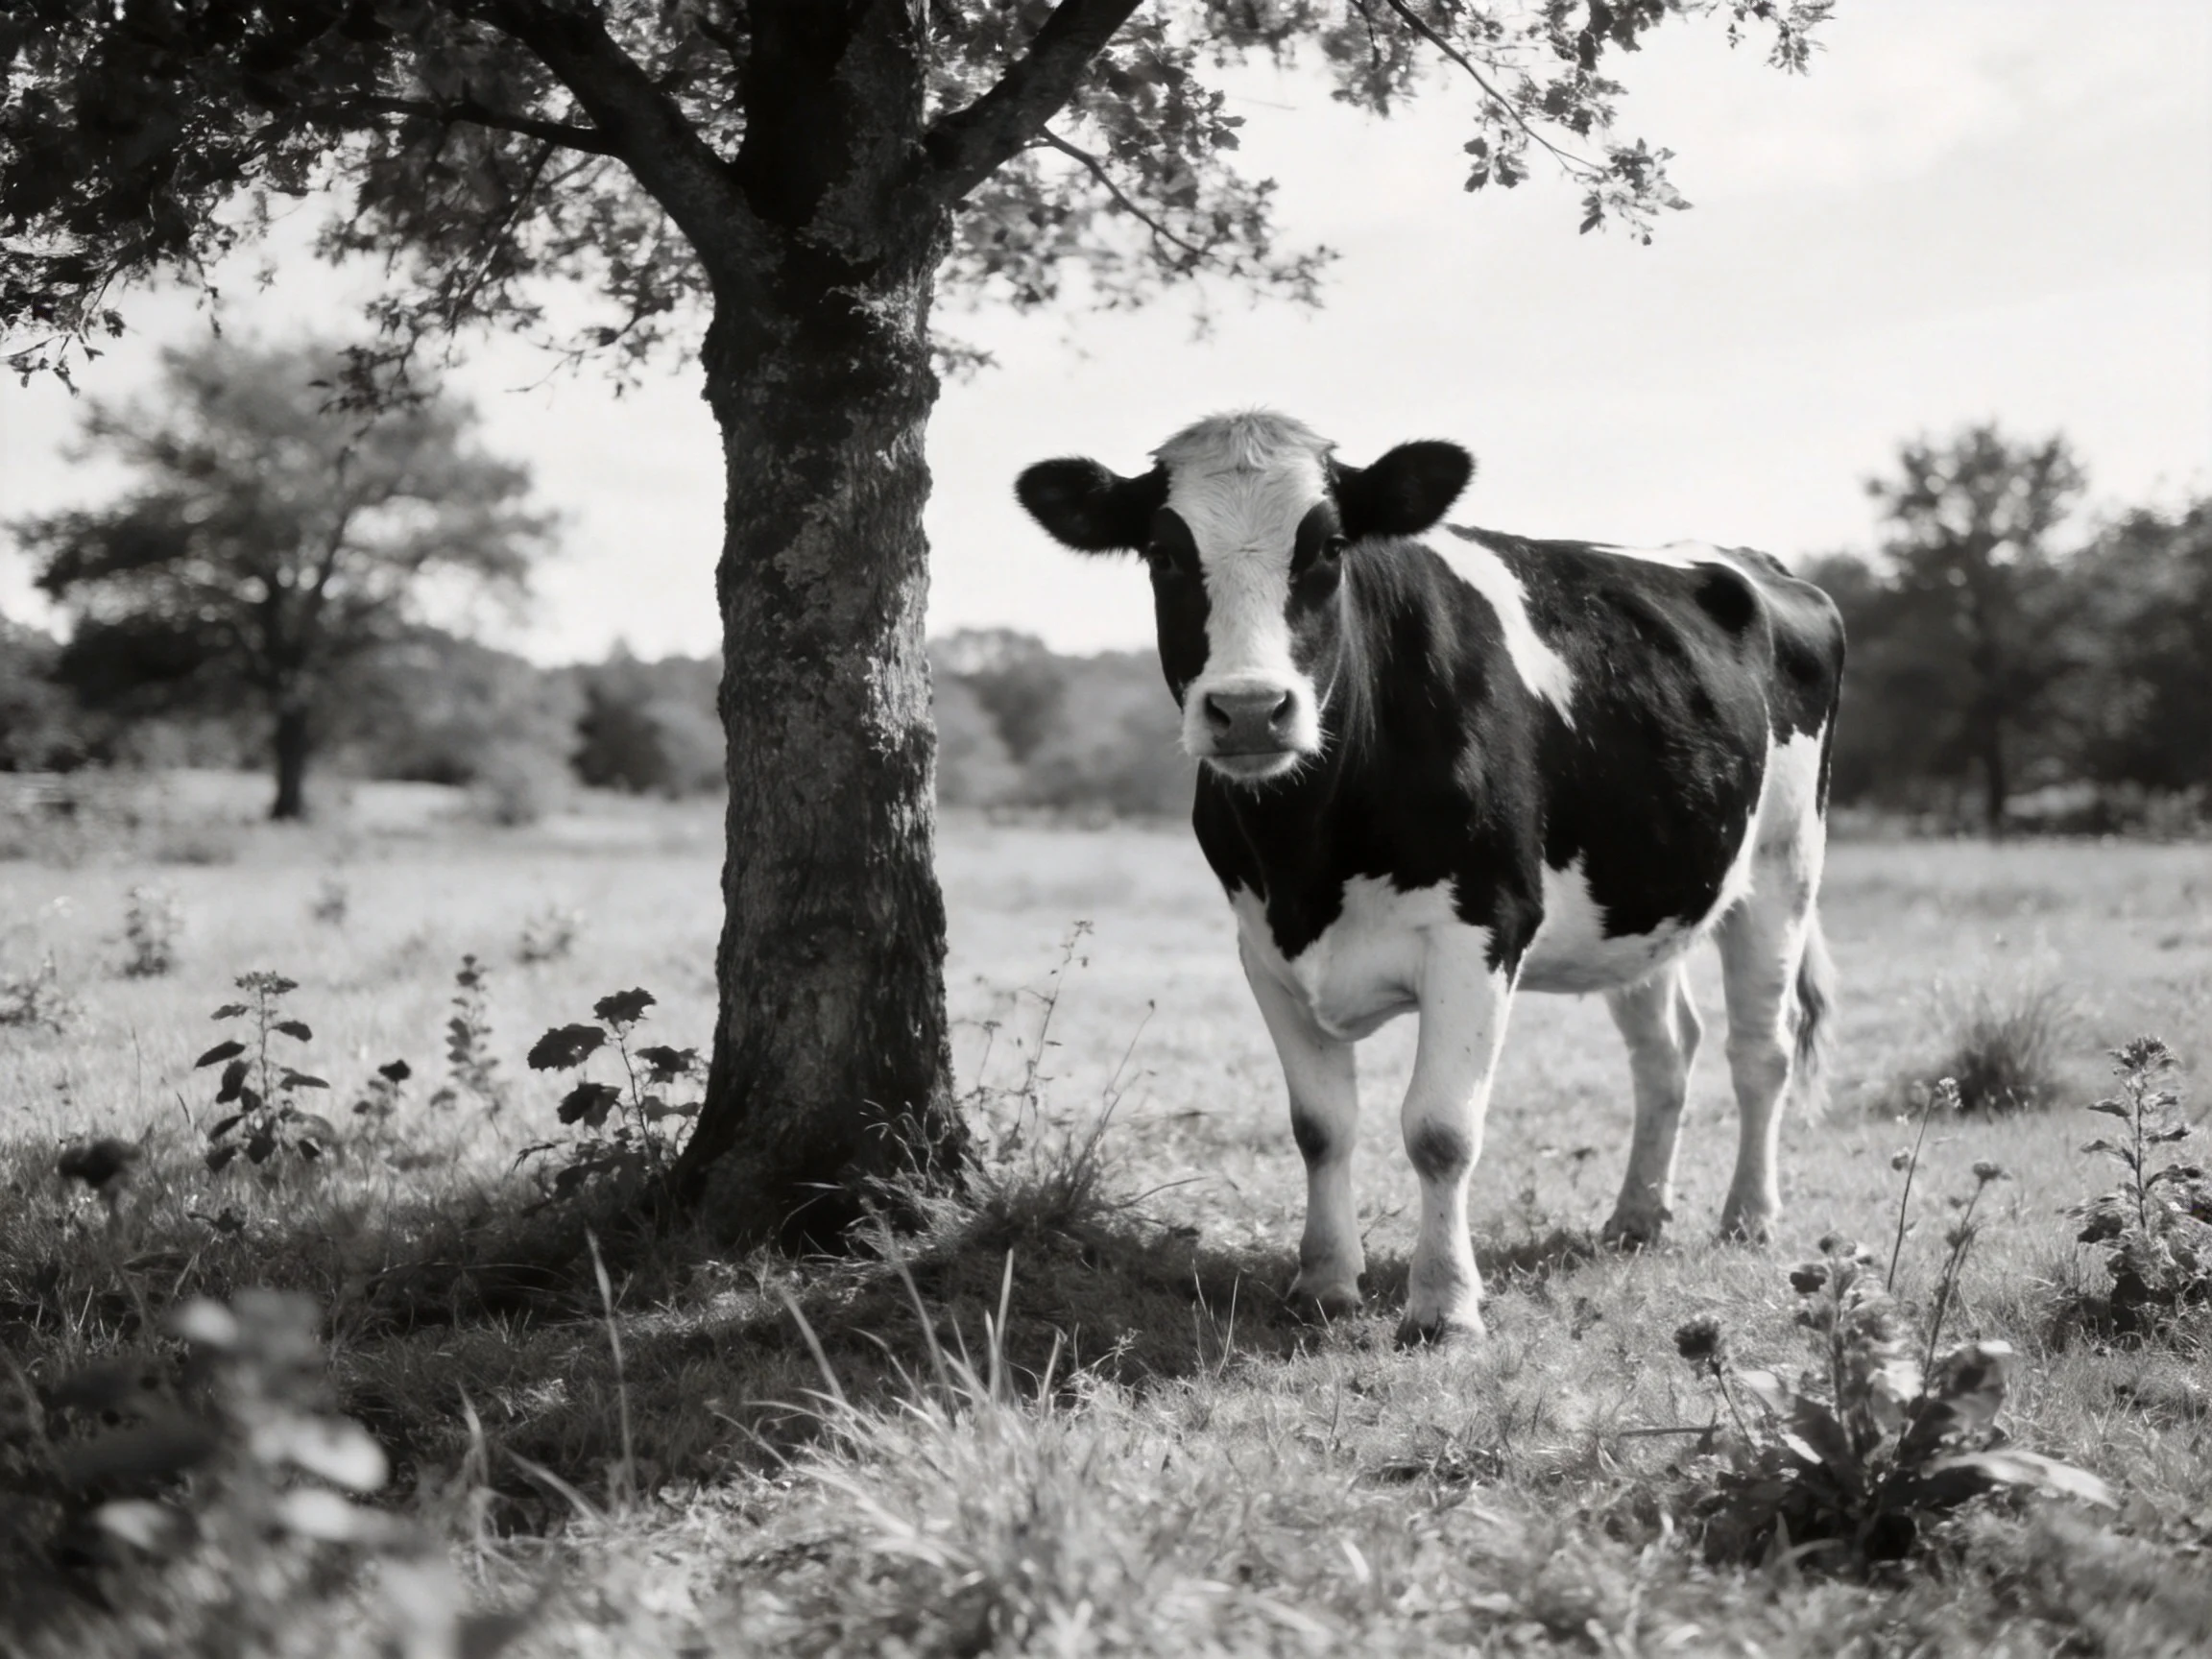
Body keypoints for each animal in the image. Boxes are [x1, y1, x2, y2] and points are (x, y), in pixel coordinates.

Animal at [1015, 411, 1845, 1344]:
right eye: (1163, 553)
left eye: (1330, 546)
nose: (1251, 711)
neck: (1310, 853)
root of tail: (1754, 563)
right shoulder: (1262, 947)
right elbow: (1320, 1128)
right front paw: (1325, 1283)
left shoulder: (1481, 931)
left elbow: (1441, 1130)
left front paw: (1443, 1306)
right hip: (1638, 895)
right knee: (1666, 1052)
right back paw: (1635, 1217)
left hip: (1784, 864)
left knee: (1762, 1048)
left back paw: (1749, 1216)